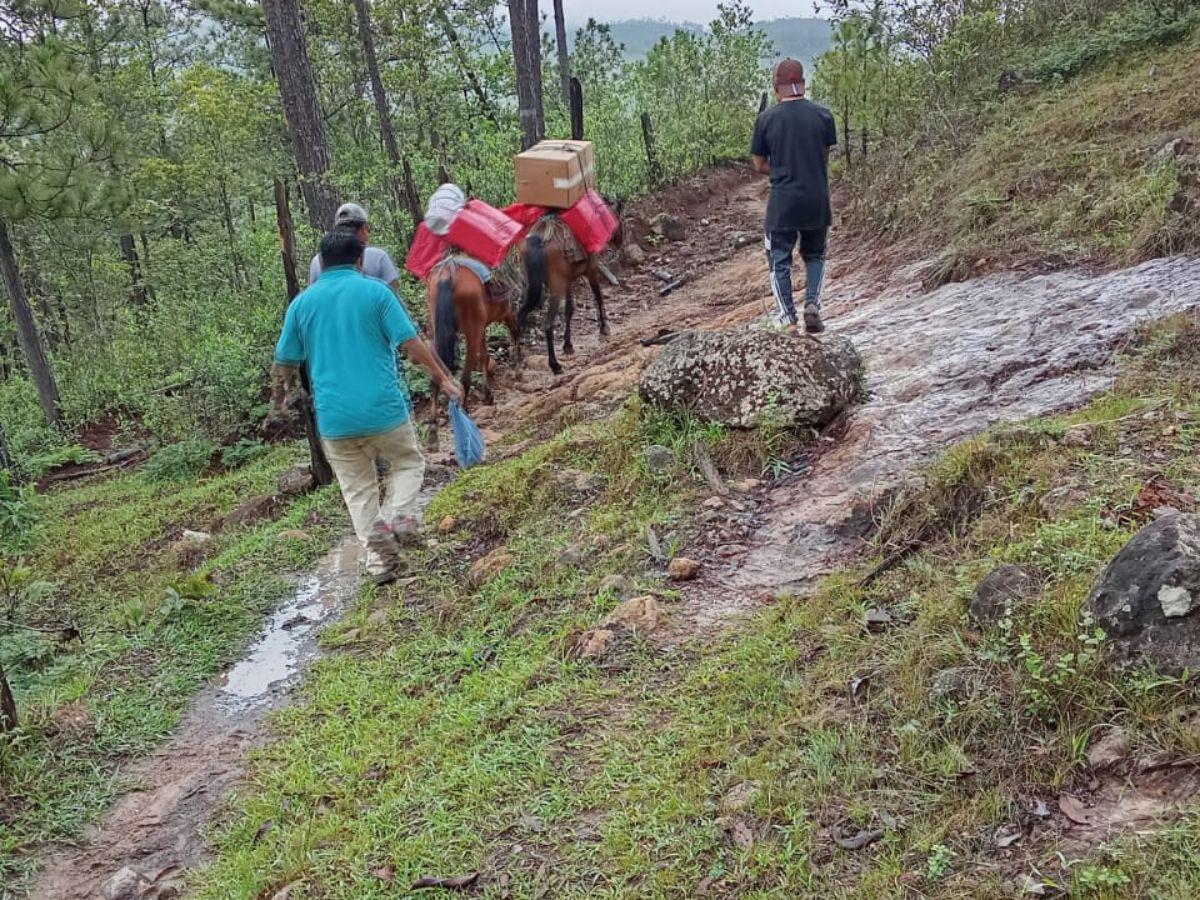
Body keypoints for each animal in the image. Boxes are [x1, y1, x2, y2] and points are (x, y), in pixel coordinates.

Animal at [429, 259, 523, 441]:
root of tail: (448, 273)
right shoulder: (504, 313)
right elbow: (509, 336)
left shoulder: (482, 326)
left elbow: (484, 356)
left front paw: (488, 393)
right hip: (471, 328)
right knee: (465, 376)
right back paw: (465, 413)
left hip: (438, 328)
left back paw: (433, 425)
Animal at [518, 202, 628, 374]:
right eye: (619, 219)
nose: (620, 242)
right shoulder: (591, 269)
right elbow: (598, 296)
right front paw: (604, 328)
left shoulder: (568, 281)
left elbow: (569, 309)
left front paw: (568, 345)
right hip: (555, 289)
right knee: (547, 324)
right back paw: (555, 365)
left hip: (530, 287)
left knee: (520, 316)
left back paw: (518, 357)